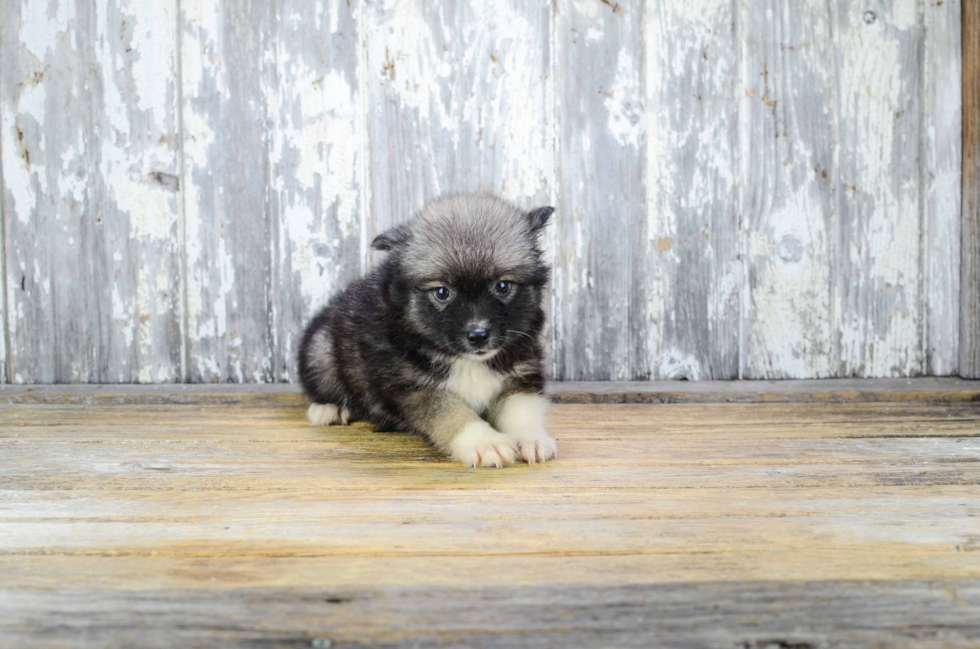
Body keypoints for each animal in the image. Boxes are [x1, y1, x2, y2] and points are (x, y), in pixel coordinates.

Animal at [296, 192, 560, 466]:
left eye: (502, 286)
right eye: (442, 292)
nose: (478, 336)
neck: (467, 361)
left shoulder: (521, 374)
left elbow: (522, 408)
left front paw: (532, 438)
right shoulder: (416, 389)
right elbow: (454, 415)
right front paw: (485, 443)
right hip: (321, 350)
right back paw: (328, 408)